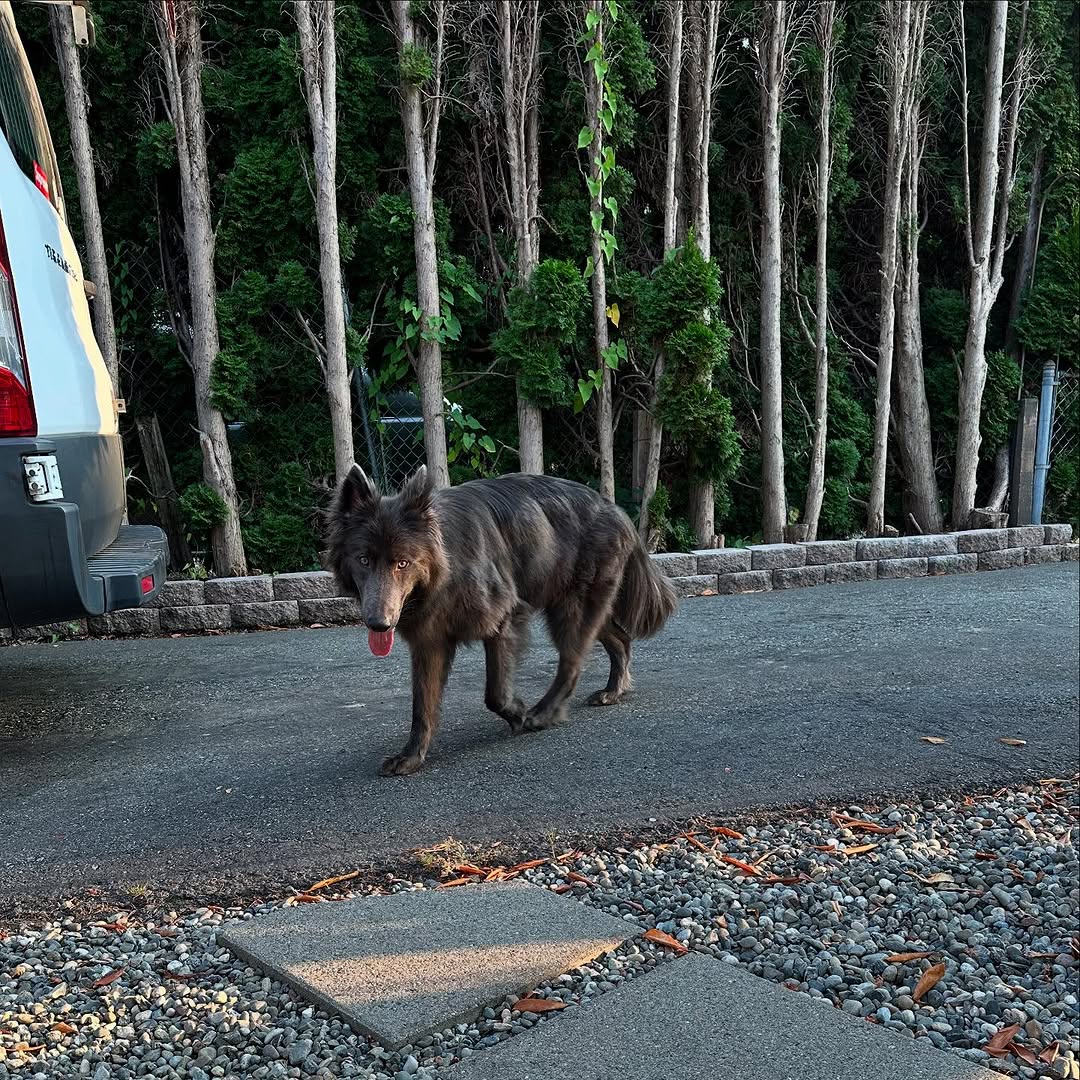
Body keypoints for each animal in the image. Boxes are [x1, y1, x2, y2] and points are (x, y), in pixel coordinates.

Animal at [328, 464, 673, 777]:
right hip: (579, 608)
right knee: (621, 641)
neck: (447, 568)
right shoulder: (429, 642)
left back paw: (543, 714)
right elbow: (422, 706)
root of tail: (616, 511)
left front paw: (518, 713)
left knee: (572, 664)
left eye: (402, 563)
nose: (379, 624)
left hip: (572, 610)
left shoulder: (504, 620)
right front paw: (412, 756)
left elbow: (494, 693)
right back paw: (614, 691)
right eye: (363, 560)